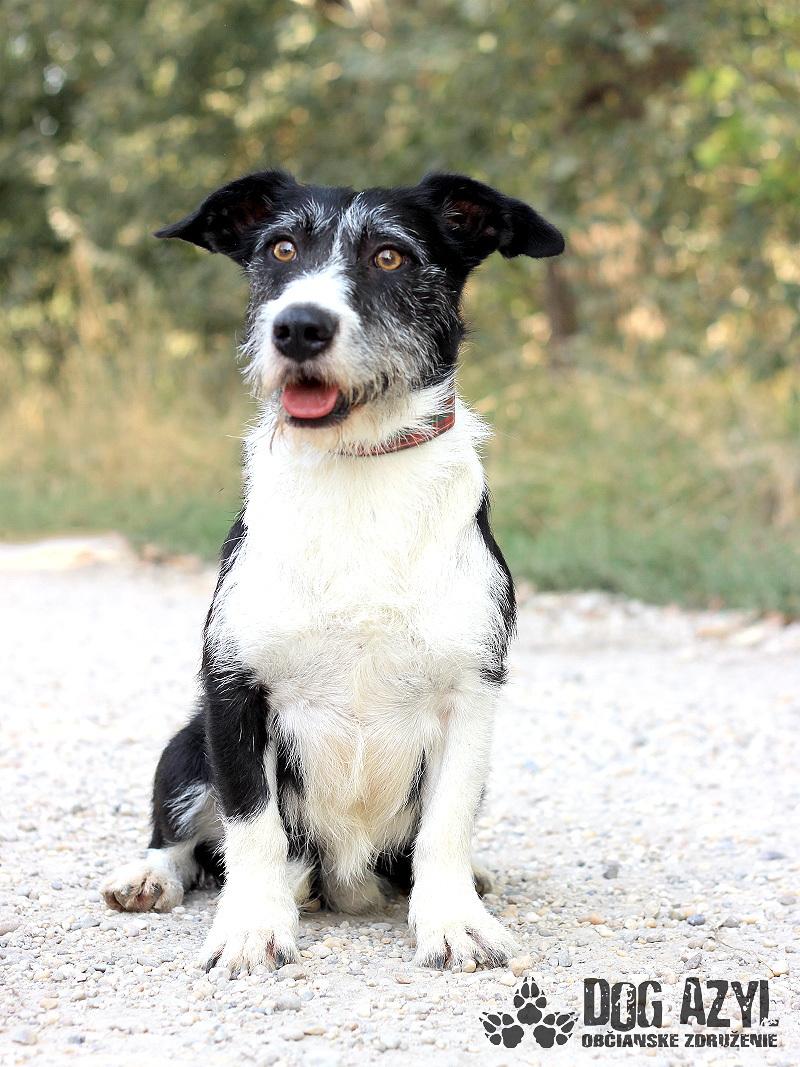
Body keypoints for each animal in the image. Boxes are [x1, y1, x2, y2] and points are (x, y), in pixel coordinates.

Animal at [101, 170, 564, 972]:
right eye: (281, 248)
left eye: (390, 256)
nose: (299, 327)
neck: (356, 468)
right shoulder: (235, 691)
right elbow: (252, 824)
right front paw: (253, 924)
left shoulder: (470, 696)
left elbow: (446, 826)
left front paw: (452, 918)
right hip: (185, 744)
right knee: (182, 839)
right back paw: (151, 876)